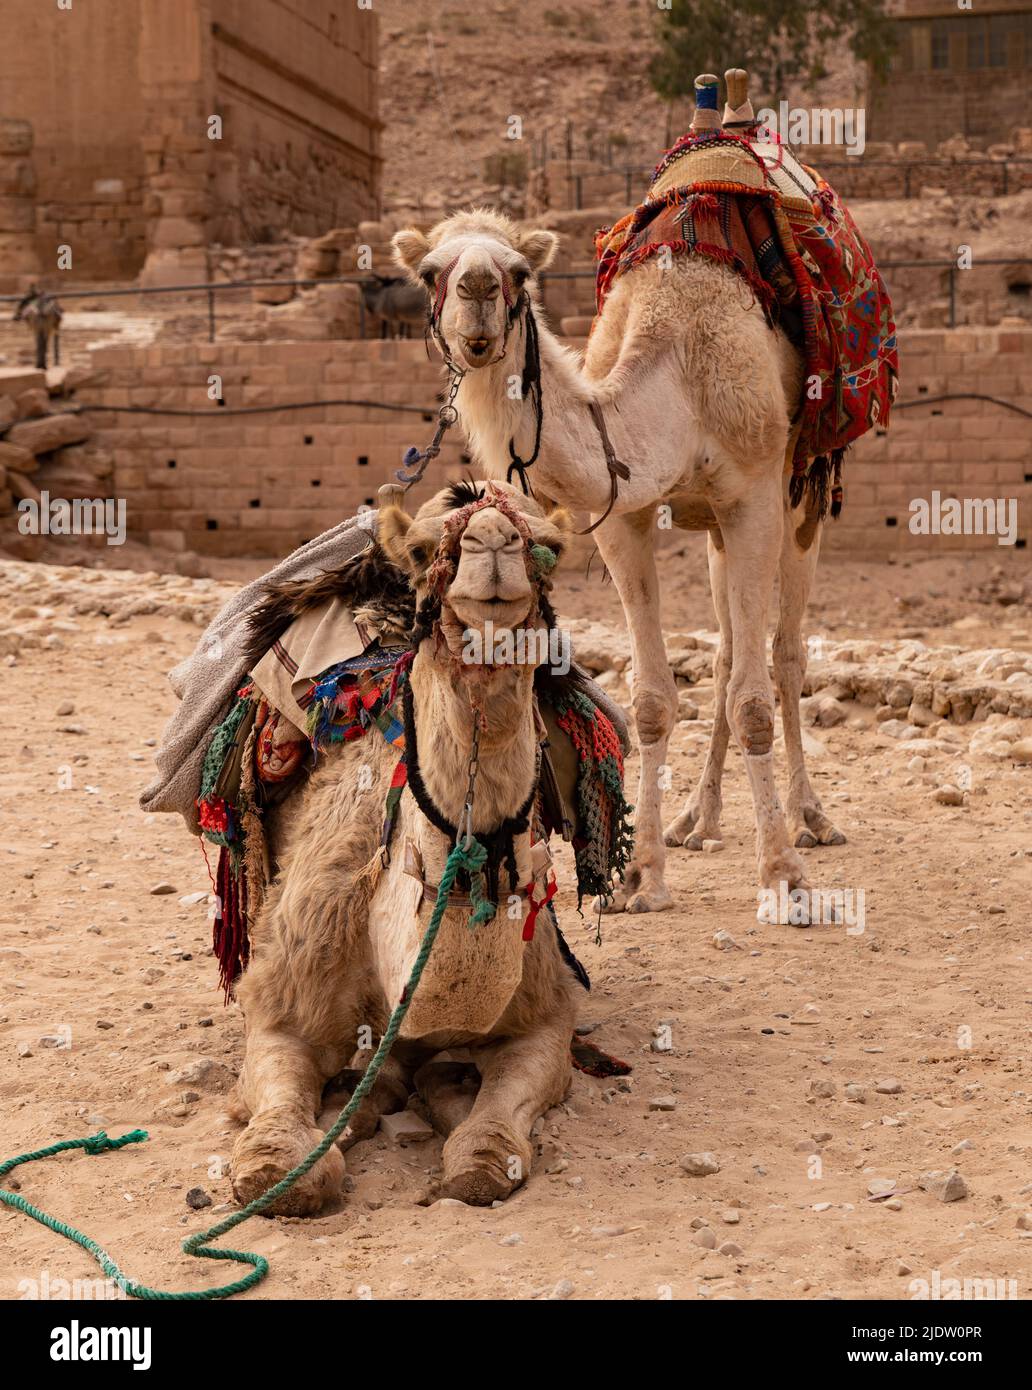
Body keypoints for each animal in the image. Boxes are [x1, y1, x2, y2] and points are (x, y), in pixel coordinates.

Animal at [230, 480, 586, 1217]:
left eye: (550, 546)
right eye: (425, 552)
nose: (491, 544)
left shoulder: (545, 1012)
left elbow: (492, 1142)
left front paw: (470, 1139)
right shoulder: (283, 1000)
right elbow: (281, 1143)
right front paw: (282, 1164)